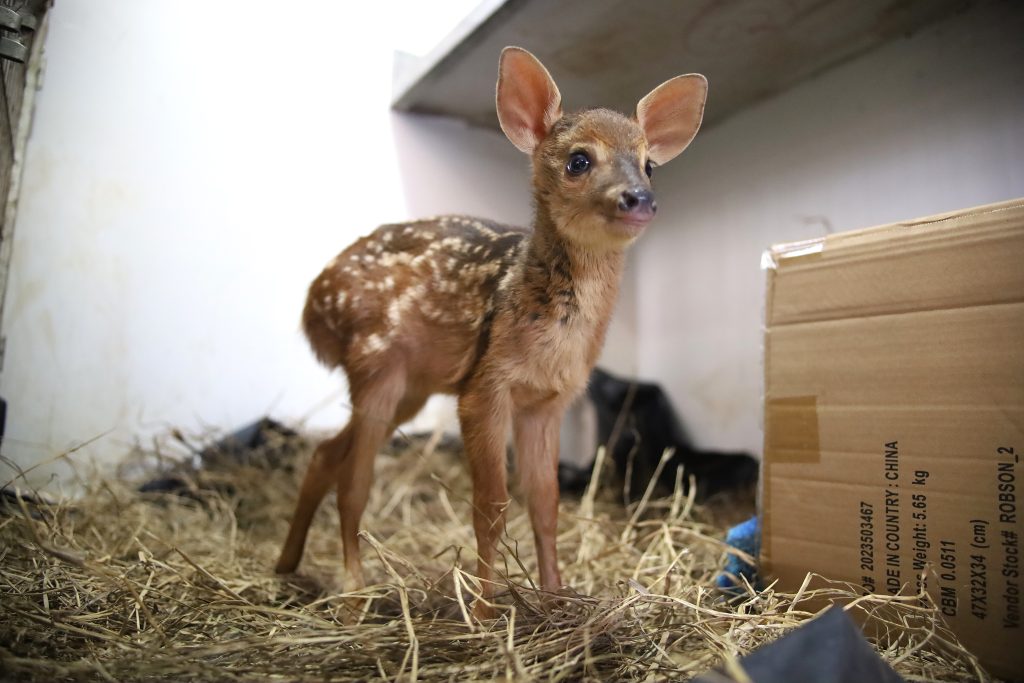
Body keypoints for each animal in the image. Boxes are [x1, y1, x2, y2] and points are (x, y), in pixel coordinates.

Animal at [276, 46, 708, 614]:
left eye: (649, 164)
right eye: (578, 160)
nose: (639, 198)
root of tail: (312, 306)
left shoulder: (547, 401)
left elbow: (545, 503)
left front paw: (556, 597)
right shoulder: (484, 388)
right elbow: (491, 505)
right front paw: (484, 611)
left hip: (410, 387)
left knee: (327, 452)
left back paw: (287, 566)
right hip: (376, 362)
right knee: (355, 480)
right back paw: (352, 591)